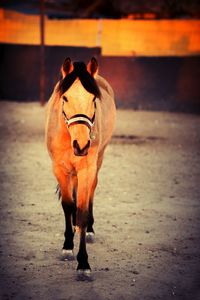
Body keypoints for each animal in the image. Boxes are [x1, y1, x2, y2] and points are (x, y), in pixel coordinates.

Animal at [45, 56, 115, 278]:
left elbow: (83, 212)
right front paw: (67, 245)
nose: (82, 145)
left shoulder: (87, 169)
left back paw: (89, 229)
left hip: (98, 160)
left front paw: (83, 263)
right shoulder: (59, 168)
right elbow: (68, 206)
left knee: (91, 190)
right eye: (65, 98)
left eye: (93, 99)